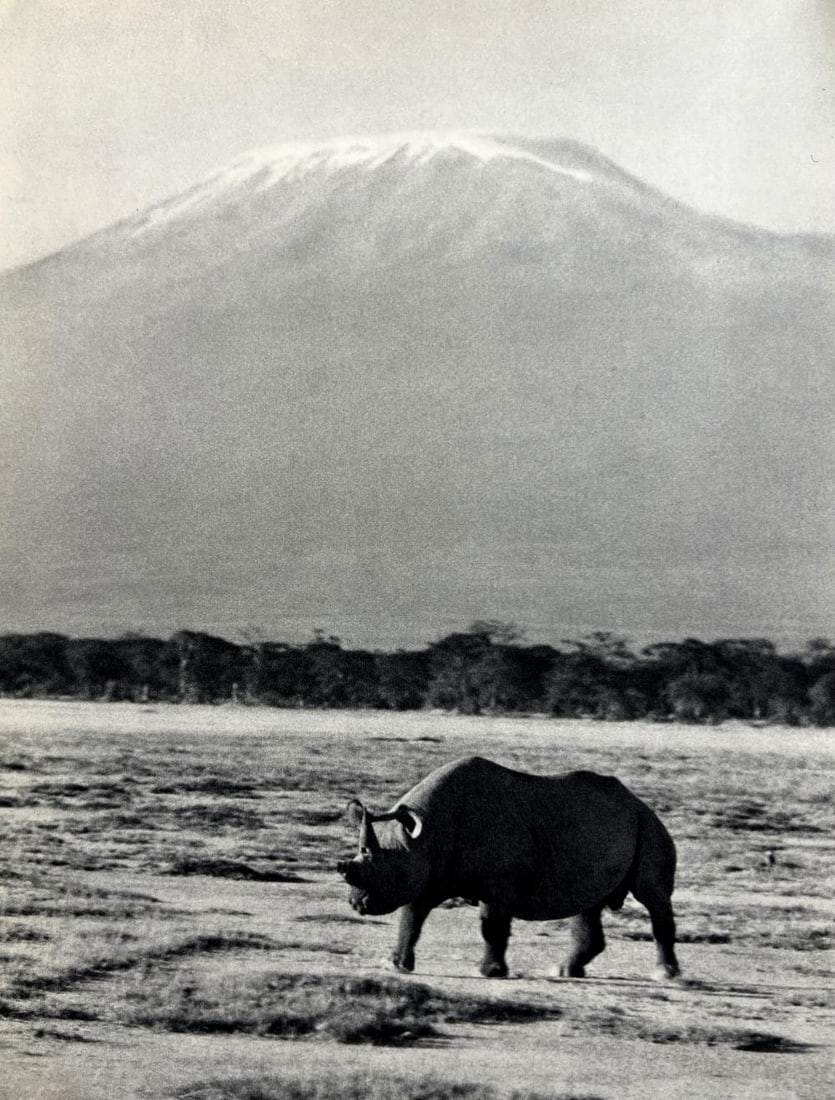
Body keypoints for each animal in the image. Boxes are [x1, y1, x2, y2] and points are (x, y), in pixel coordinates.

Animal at [337, 756, 680, 980]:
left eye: (386, 867)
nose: (356, 903)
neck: (428, 832)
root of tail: (638, 802)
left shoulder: (498, 881)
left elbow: (492, 925)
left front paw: (489, 972)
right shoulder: (430, 872)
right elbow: (411, 918)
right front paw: (395, 964)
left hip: (648, 826)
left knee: (652, 898)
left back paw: (665, 975)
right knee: (588, 906)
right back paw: (565, 971)